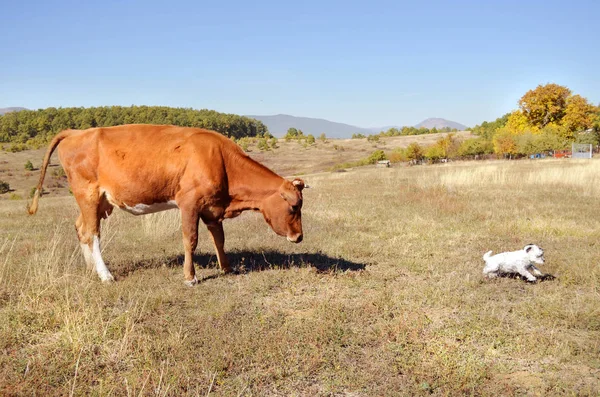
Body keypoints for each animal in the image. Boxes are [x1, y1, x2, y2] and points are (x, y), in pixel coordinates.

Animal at [27, 125, 304, 284]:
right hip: (88, 195)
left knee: (81, 229)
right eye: (294, 207)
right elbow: (190, 240)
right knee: (91, 233)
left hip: (97, 203)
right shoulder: (189, 203)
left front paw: (226, 268)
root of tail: (76, 132)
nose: (299, 237)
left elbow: (219, 239)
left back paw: (90, 269)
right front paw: (190, 277)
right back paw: (105, 274)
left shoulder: (212, 208)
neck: (221, 160)